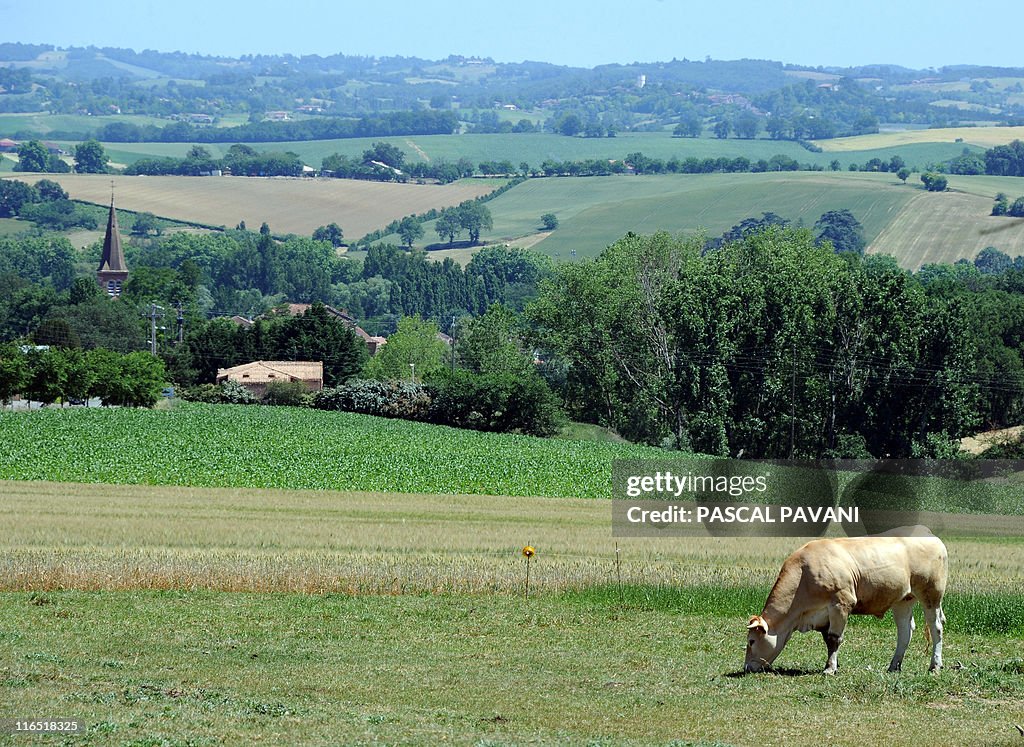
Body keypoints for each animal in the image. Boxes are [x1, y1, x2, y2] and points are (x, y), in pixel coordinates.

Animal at [741, 524, 946, 676]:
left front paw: (829, 669)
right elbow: (828, 641)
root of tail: (925, 531)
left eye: (751, 641)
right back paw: (894, 666)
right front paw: (834, 664)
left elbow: (834, 639)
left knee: (936, 628)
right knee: (905, 632)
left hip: (931, 594)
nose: (746, 668)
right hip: (902, 600)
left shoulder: (841, 604)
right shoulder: (823, 616)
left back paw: (934, 666)